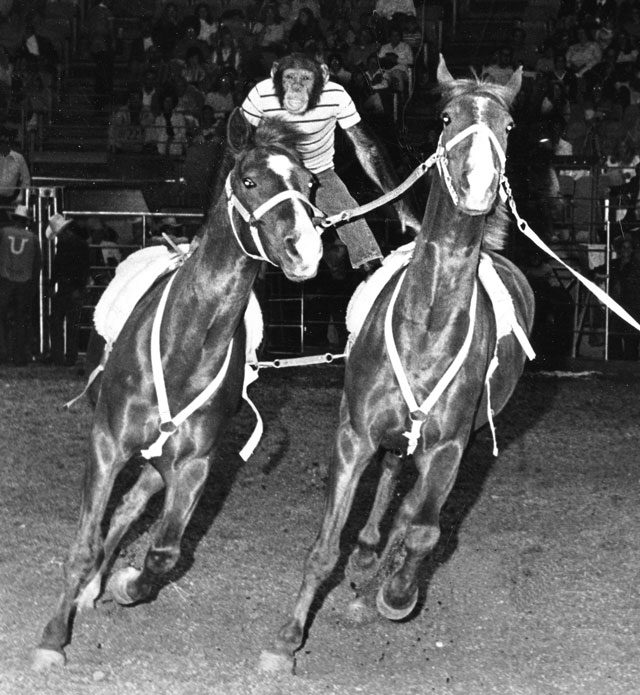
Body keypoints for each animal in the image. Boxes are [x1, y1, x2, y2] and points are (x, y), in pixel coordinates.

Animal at [32, 110, 324, 672]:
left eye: (309, 184)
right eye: (249, 181)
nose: (305, 249)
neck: (184, 346)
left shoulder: (192, 466)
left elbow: (164, 553)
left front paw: (125, 583)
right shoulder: (107, 444)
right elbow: (82, 545)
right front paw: (53, 639)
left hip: (157, 464)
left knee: (129, 510)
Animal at [259, 57, 536, 673]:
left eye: (507, 126)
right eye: (446, 117)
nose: (479, 182)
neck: (426, 327)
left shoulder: (450, 446)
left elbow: (424, 530)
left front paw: (396, 594)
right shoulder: (354, 435)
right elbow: (325, 546)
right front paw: (286, 638)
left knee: (409, 510)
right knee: (388, 476)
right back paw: (365, 559)